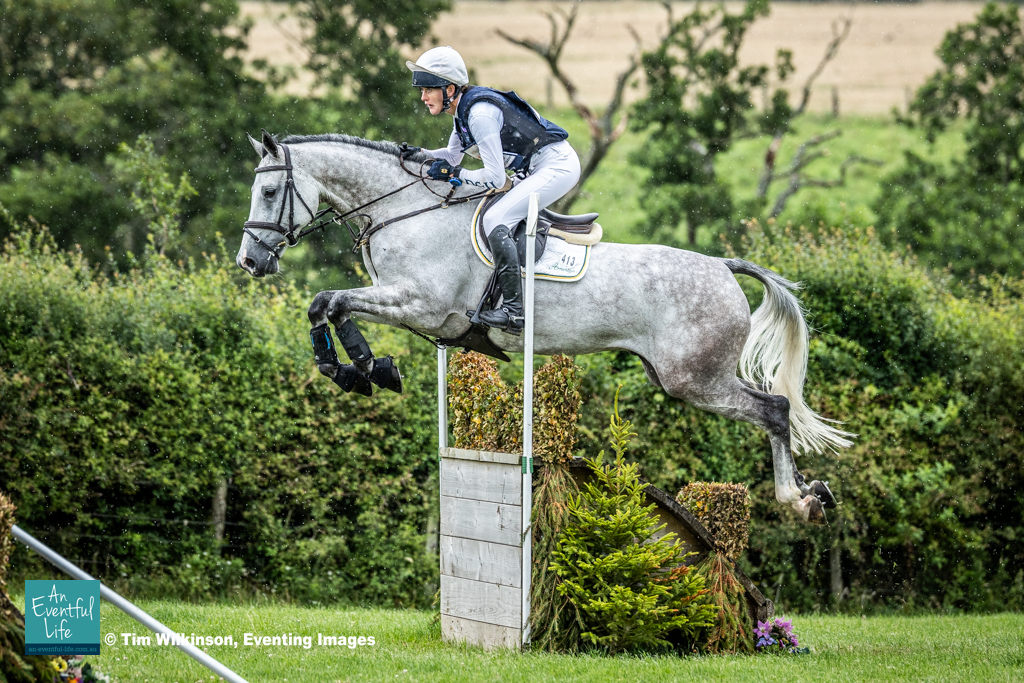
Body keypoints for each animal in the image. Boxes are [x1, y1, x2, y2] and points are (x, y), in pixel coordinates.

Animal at [236, 130, 852, 525]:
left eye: (268, 191)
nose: (250, 261)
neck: (406, 209)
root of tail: (723, 266)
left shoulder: (420, 304)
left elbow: (331, 301)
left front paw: (366, 367)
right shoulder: (408, 306)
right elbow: (327, 305)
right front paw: (358, 368)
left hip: (694, 379)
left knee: (774, 409)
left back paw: (800, 500)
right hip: (678, 376)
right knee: (773, 410)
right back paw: (810, 494)